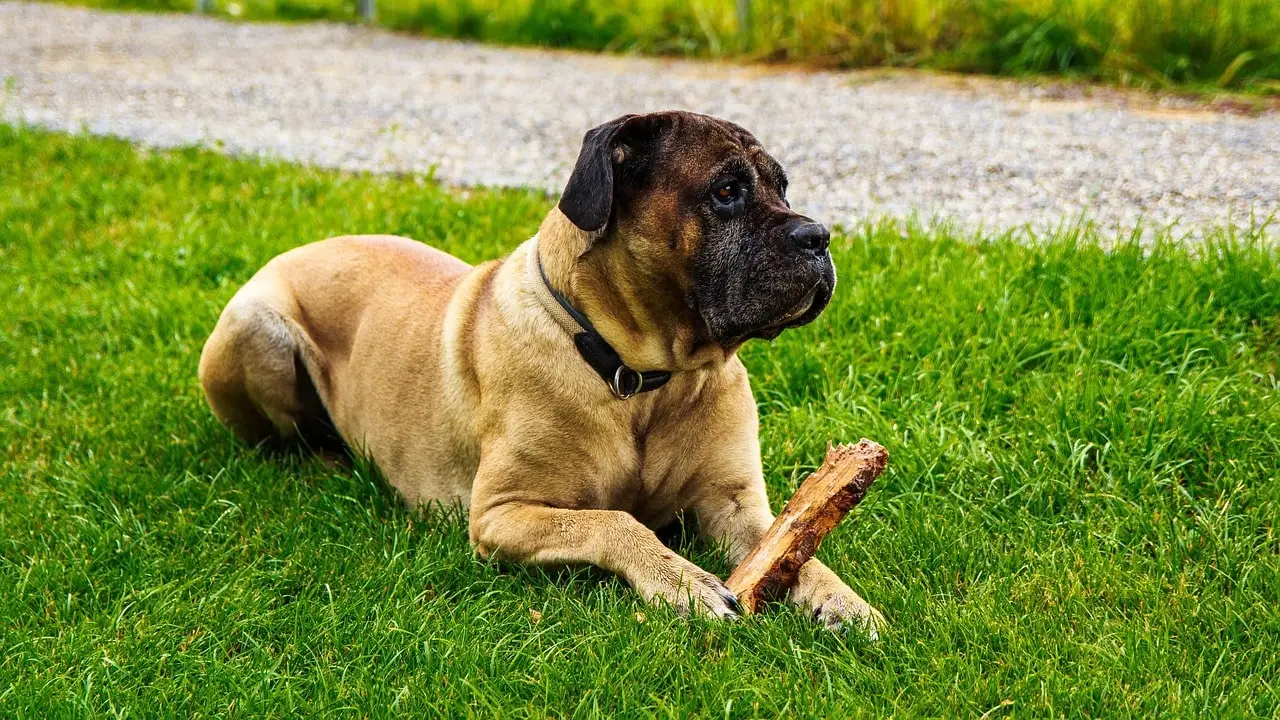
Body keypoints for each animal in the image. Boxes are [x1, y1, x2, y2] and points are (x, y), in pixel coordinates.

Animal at [197, 109, 880, 630]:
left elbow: (797, 544)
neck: (639, 378)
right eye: (726, 190)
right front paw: (684, 581)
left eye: (782, 187)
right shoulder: (502, 514)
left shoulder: (736, 506)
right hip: (256, 329)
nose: (819, 237)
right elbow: (616, 521)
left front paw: (841, 599)